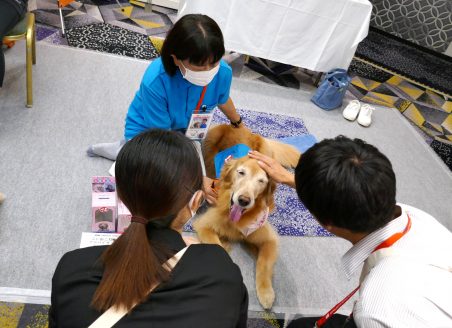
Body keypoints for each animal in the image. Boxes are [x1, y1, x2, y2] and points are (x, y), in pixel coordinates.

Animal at [193, 123, 300, 310]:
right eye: (241, 173)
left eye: (262, 181)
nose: (243, 200)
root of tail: (241, 127)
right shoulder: (203, 224)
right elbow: (218, 247)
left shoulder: (269, 239)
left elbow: (263, 263)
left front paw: (266, 293)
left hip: (266, 153)